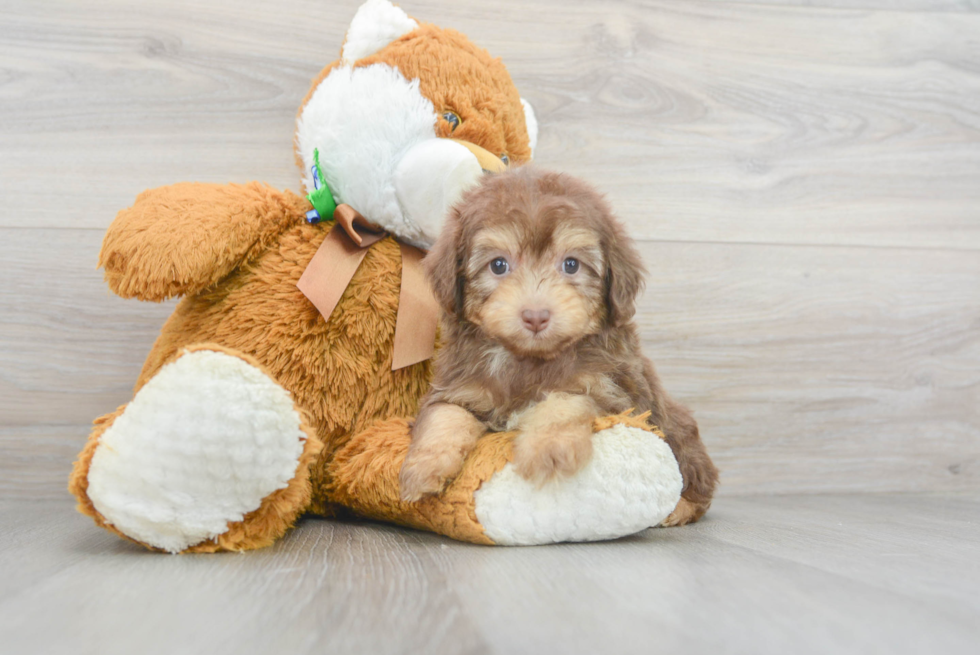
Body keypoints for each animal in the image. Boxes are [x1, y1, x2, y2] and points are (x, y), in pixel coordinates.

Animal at [400, 167, 720, 524]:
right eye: (498, 265)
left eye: (571, 264)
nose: (536, 316)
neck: (528, 360)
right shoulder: (459, 387)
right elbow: (445, 415)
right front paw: (423, 467)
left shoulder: (609, 391)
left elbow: (563, 402)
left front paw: (547, 449)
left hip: (678, 431)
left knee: (695, 474)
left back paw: (679, 508)